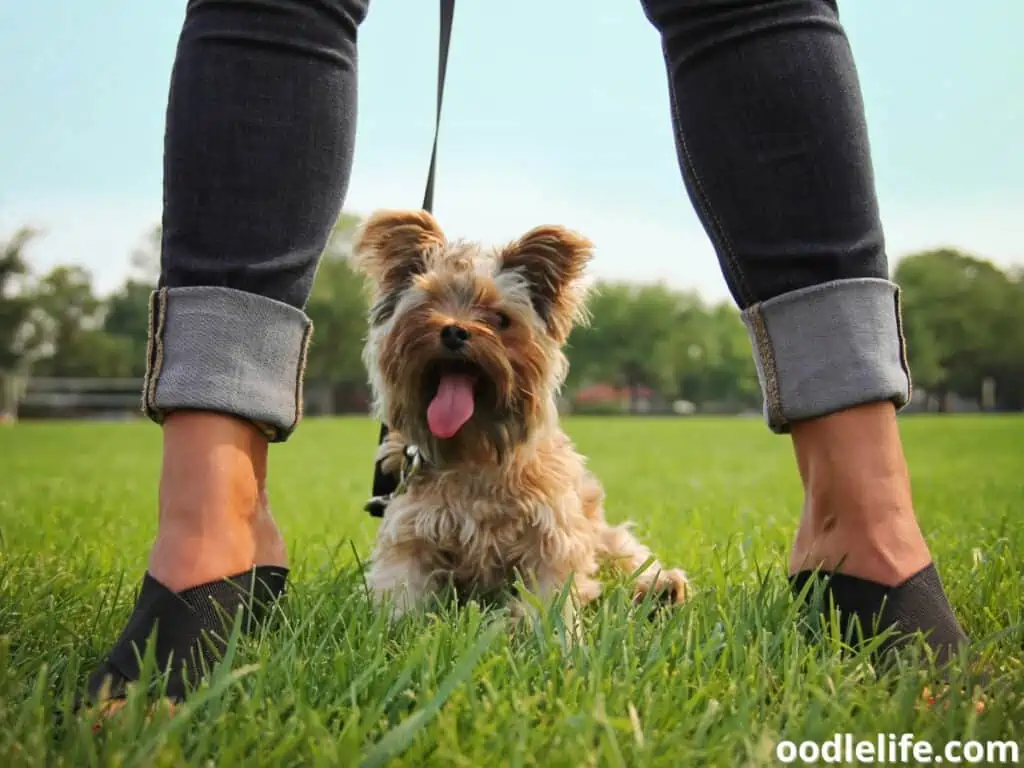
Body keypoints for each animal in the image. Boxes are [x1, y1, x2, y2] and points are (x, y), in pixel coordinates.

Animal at [352, 210, 688, 618]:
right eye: (428, 305)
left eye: (500, 319)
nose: (453, 331)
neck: (475, 447)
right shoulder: (411, 528)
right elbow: (400, 588)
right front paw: (398, 623)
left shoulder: (553, 532)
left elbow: (551, 591)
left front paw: (539, 627)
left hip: (603, 533)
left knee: (625, 553)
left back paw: (661, 588)